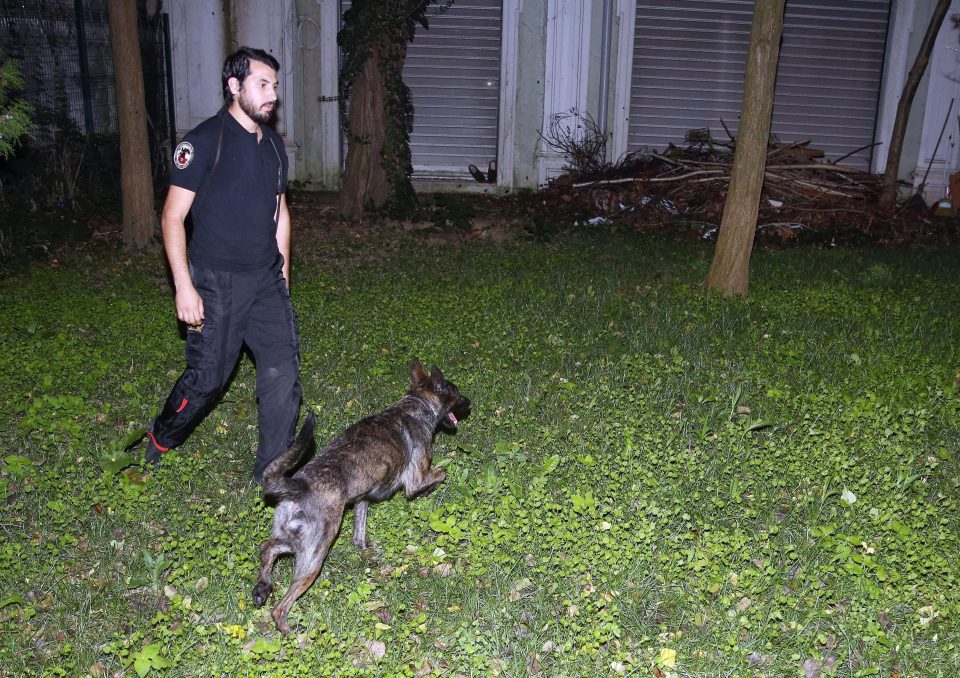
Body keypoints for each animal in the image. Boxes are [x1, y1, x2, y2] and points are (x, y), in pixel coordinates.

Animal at [251, 362, 468, 636]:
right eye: (456, 392)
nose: (469, 403)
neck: (416, 404)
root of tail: (298, 486)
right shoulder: (415, 479)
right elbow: (441, 474)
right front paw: (430, 489)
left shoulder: (361, 499)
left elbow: (360, 530)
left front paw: (364, 548)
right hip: (314, 554)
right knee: (280, 608)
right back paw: (293, 633)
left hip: (296, 541)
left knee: (266, 548)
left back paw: (262, 588)